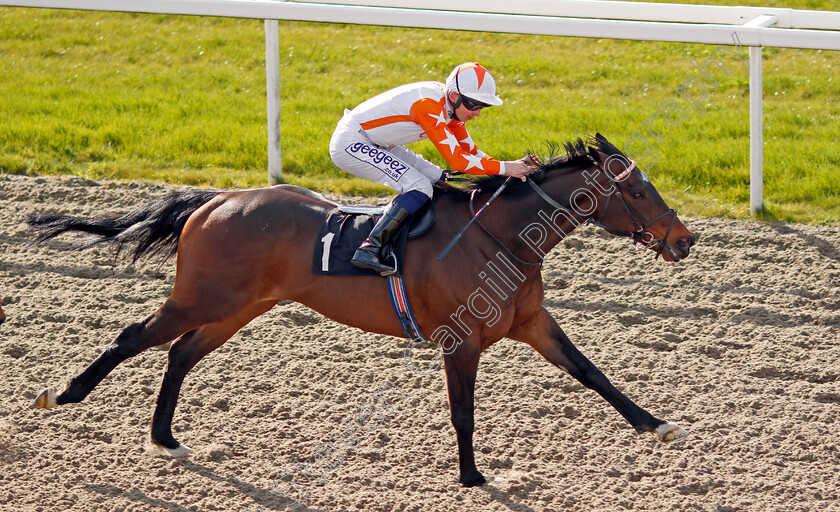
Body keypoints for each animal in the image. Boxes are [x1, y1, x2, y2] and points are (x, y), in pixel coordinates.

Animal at [27, 134, 696, 486]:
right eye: (637, 190)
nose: (684, 239)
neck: (499, 238)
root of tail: (216, 200)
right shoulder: (461, 340)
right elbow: (462, 412)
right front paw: (473, 477)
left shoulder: (531, 323)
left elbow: (591, 372)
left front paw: (655, 423)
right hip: (203, 296)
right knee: (133, 334)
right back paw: (62, 394)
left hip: (239, 306)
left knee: (181, 352)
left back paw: (165, 437)